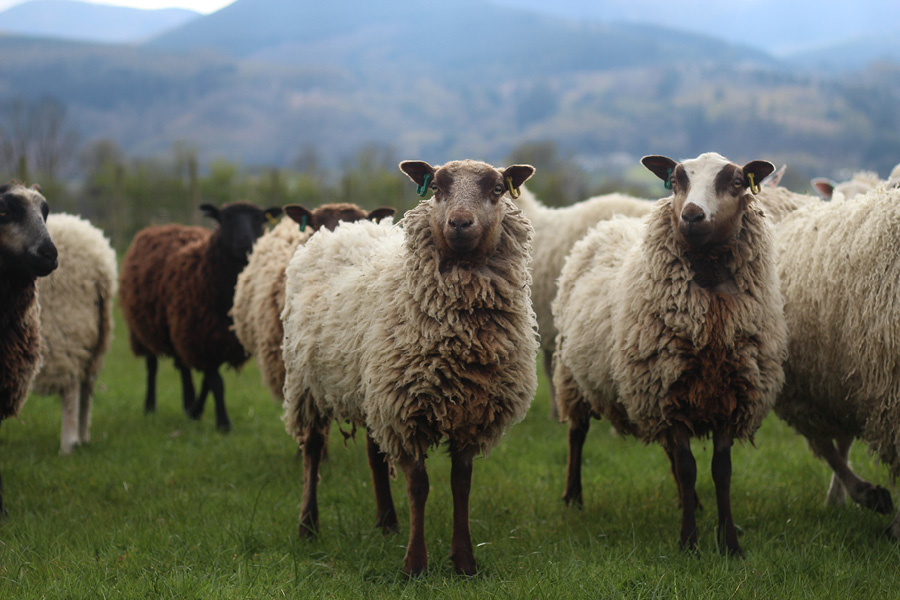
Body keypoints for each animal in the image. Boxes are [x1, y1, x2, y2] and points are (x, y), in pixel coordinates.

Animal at [32, 213, 117, 455]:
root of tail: (101, 266)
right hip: (97, 335)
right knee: (86, 385)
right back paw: (83, 436)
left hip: (65, 328)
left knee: (71, 389)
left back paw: (68, 443)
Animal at [119, 202, 281, 432]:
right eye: (225, 218)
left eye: (259, 219)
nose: (245, 241)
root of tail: (161, 226)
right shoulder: (202, 337)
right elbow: (216, 382)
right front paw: (223, 423)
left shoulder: (215, 338)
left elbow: (207, 381)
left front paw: (197, 410)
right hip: (145, 326)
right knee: (152, 366)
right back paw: (150, 406)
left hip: (176, 328)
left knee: (183, 367)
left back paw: (188, 403)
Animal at [281, 159, 539, 576]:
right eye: (435, 187)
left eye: (498, 189)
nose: (460, 222)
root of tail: (341, 230)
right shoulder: (406, 410)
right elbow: (419, 486)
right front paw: (415, 565)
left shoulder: (469, 412)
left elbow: (461, 483)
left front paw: (464, 562)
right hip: (309, 385)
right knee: (313, 450)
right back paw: (308, 525)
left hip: (371, 388)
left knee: (373, 452)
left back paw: (387, 522)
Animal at [552, 152, 786, 556]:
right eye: (676, 181)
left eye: (736, 182)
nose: (691, 214)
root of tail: (610, 224)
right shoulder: (666, 393)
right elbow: (689, 466)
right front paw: (689, 543)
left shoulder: (731, 394)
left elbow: (721, 470)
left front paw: (730, 543)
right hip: (573, 376)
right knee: (577, 435)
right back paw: (573, 497)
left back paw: (689, 502)